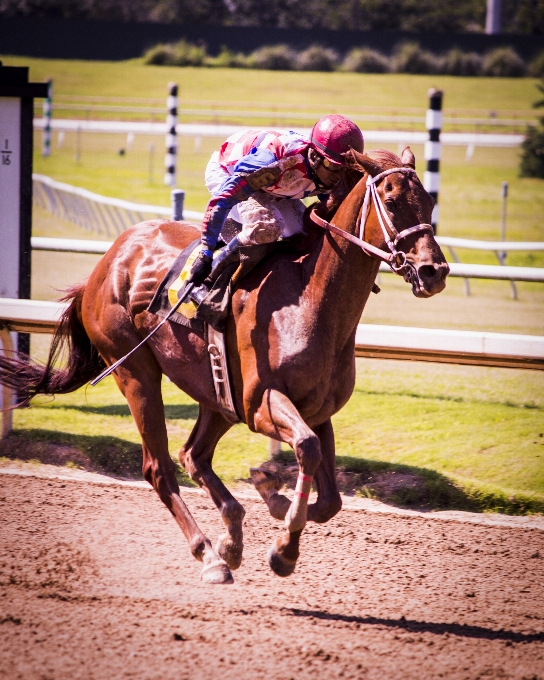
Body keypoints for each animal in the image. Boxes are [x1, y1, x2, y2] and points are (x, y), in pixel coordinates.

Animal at [0, 147, 448, 584]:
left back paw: (230, 538)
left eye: (429, 202)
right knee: (159, 467)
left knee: (193, 456)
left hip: (215, 394)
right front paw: (283, 545)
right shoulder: (259, 402)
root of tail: (107, 260)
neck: (312, 298)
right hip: (135, 372)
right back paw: (209, 555)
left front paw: (273, 495)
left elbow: (331, 498)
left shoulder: (317, 410)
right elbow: (306, 448)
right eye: (391, 201)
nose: (434, 271)